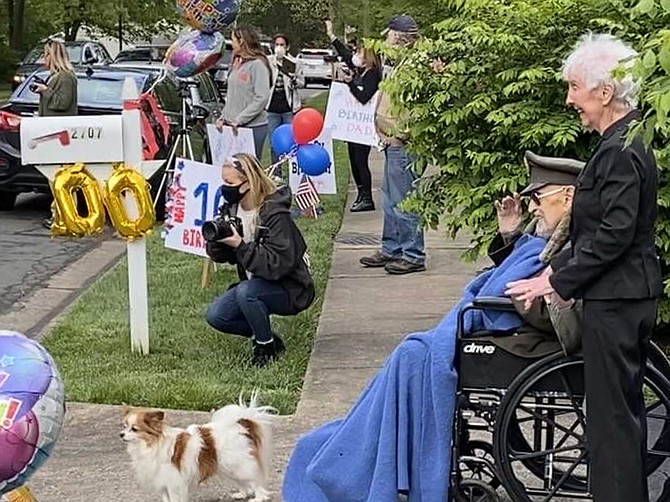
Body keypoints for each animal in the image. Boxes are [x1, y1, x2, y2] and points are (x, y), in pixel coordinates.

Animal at [121, 394, 276, 500]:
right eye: (124, 426)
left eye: (134, 429)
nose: (121, 434)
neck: (150, 445)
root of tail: (241, 425)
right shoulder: (163, 483)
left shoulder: (174, 483)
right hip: (228, 466)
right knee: (243, 482)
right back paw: (242, 494)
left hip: (238, 465)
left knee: (255, 482)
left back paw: (259, 498)